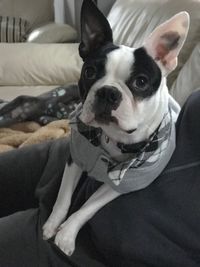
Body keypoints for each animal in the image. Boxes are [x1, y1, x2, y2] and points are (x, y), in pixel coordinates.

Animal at [43, 0, 190, 258]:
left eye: (141, 82)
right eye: (89, 72)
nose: (108, 92)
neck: (113, 138)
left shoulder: (125, 183)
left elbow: (88, 208)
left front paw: (66, 235)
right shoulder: (76, 158)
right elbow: (63, 197)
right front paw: (52, 225)